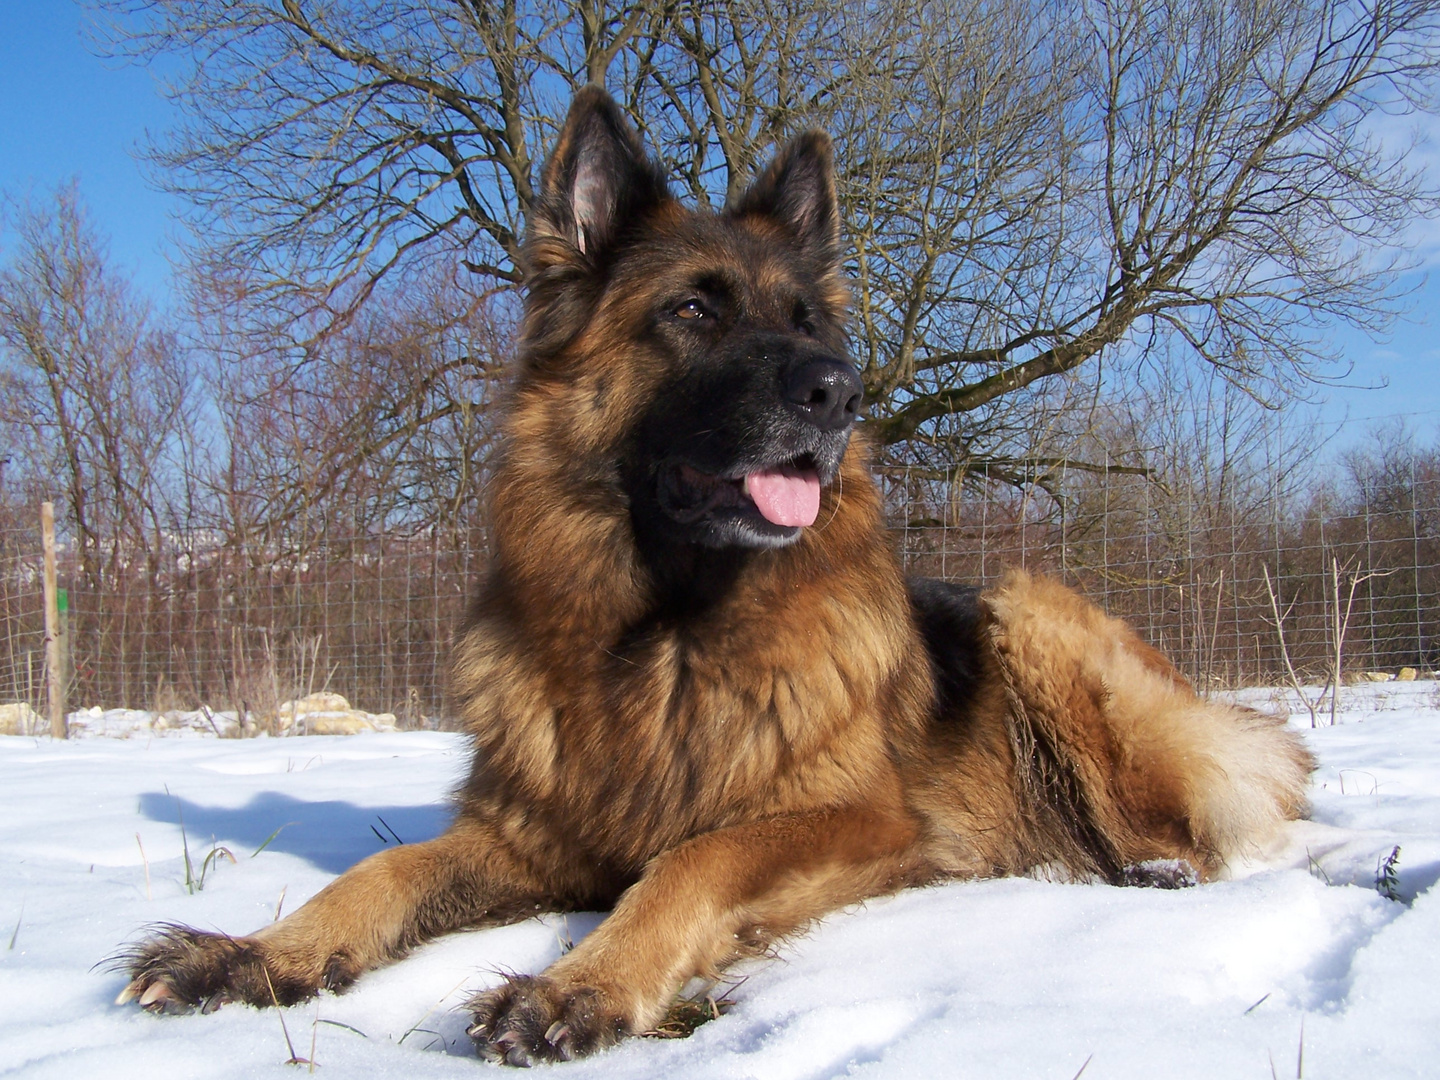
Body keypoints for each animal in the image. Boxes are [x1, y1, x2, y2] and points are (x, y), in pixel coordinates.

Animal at [115, 91, 1319, 1065]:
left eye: (807, 323)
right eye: (692, 311)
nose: (841, 394)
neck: (665, 634)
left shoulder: (856, 824)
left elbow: (695, 858)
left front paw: (581, 986)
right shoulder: (533, 837)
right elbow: (381, 872)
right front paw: (254, 953)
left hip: (1032, 611)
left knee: (1189, 814)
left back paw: (1149, 870)